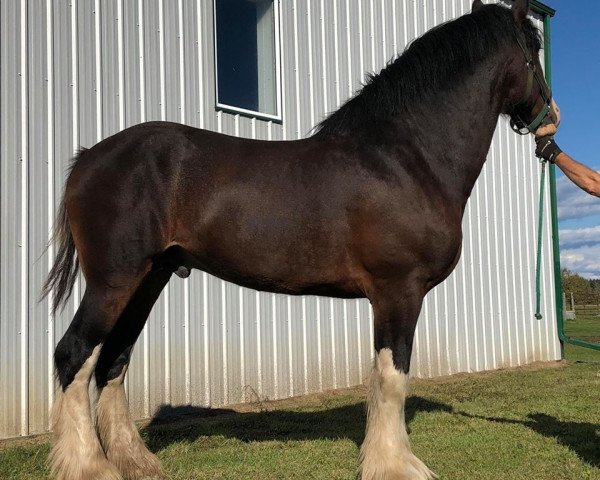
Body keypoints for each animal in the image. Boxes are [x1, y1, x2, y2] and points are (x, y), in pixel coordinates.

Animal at [42, 1, 556, 478]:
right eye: (535, 48)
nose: (550, 116)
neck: (405, 158)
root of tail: (88, 158)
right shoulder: (398, 291)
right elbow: (392, 378)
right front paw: (395, 465)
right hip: (115, 280)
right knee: (75, 354)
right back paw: (90, 466)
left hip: (150, 278)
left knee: (113, 360)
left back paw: (136, 461)